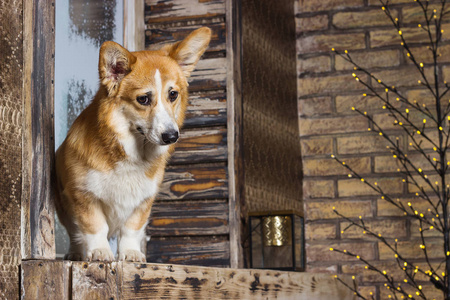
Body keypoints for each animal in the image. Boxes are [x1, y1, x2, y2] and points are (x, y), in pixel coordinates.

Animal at [54, 27, 211, 262]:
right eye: (143, 99)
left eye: (173, 94)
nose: (171, 136)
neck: (132, 153)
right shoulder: (83, 196)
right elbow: (94, 226)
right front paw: (100, 251)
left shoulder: (143, 201)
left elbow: (131, 229)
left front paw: (131, 254)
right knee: (74, 233)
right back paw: (75, 253)